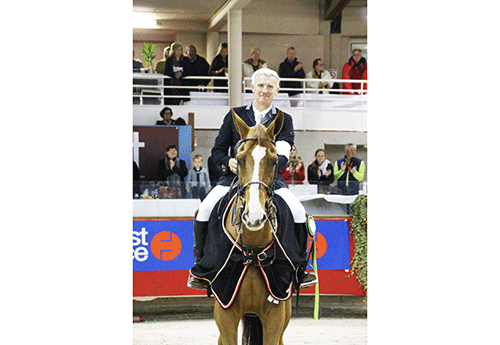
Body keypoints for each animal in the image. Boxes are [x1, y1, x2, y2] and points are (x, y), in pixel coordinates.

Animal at [212, 110, 292, 344]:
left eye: (274, 161)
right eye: (238, 159)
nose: (254, 216)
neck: (252, 249)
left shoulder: (275, 315)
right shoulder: (225, 312)